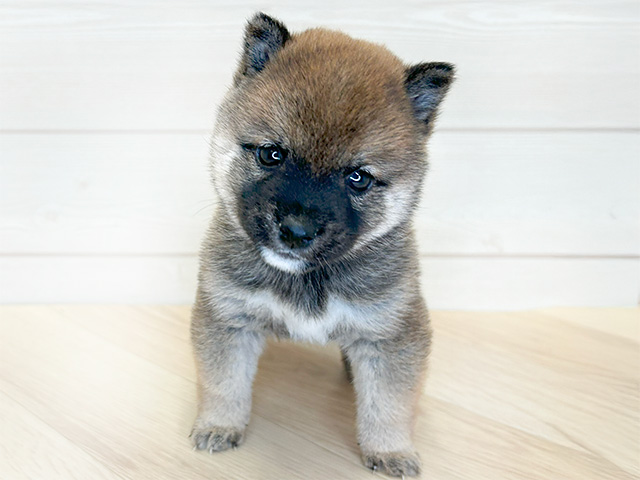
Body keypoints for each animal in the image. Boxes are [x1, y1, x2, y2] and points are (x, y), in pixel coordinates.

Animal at [190, 13, 456, 478]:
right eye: (272, 154)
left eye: (358, 178)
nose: (296, 230)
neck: (307, 278)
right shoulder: (229, 320)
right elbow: (224, 384)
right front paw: (219, 425)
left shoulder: (391, 336)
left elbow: (389, 405)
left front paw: (391, 451)